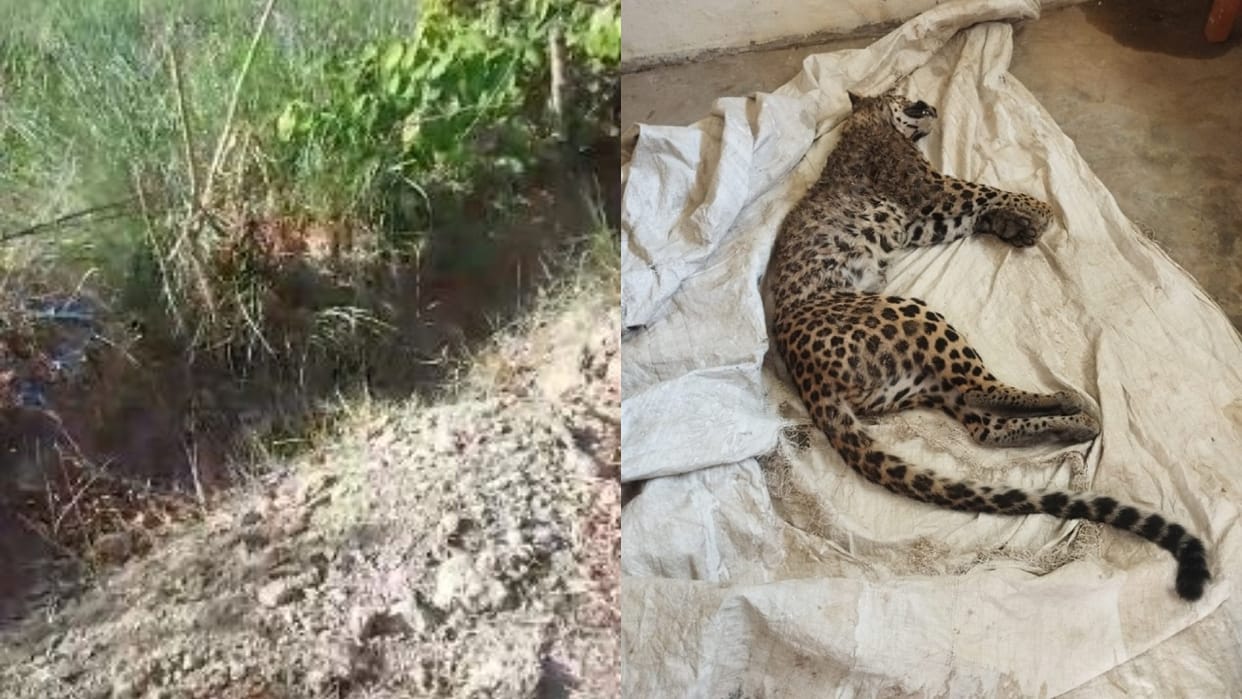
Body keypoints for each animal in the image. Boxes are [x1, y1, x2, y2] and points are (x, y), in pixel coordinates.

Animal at [767, 88, 1210, 601]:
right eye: (906, 94)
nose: (929, 104)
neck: (867, 121)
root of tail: (809, 383)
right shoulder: (934, 189)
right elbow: (988, 191)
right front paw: (1039, 210)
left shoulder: (923, 220)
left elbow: (971, 215)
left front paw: (1014, 226)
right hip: (914, 315)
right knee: (984, 391)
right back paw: (1073, 403)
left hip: (920, 379)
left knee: (983, 425)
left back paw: (1074, 426)